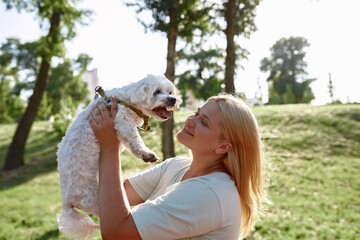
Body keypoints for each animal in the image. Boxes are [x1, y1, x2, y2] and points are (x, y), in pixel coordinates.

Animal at [57, 74, 183, 238]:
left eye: (170, 92)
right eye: (157, 92)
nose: (173, 99)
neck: (128, 100)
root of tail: (66, 202)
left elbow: (130, 143)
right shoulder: (122, 120)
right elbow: (135, 140)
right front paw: (147, 154)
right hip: (94, 199)